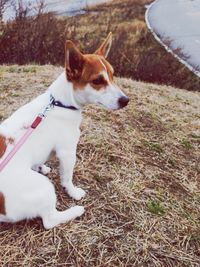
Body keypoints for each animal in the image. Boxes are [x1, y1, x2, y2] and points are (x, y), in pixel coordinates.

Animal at [0, 33, 128, 230]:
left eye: (113, 75)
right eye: (98, 81)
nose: (125, 100)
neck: (60, 102)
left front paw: (41, 166)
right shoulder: (67, 153)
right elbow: (67, 179)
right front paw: (73, 192)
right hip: (44, 188)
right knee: (49, 220)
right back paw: (75, 211)